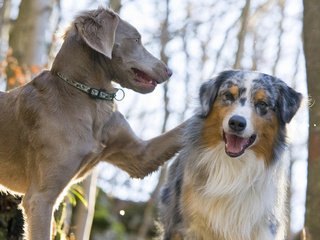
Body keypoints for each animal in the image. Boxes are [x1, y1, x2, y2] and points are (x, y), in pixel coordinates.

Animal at [0, 7, 185, 240]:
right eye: (136, 39)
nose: (170, 71)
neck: (86, 96)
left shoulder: (138, 155)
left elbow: (180, 131)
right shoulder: (40, 197)